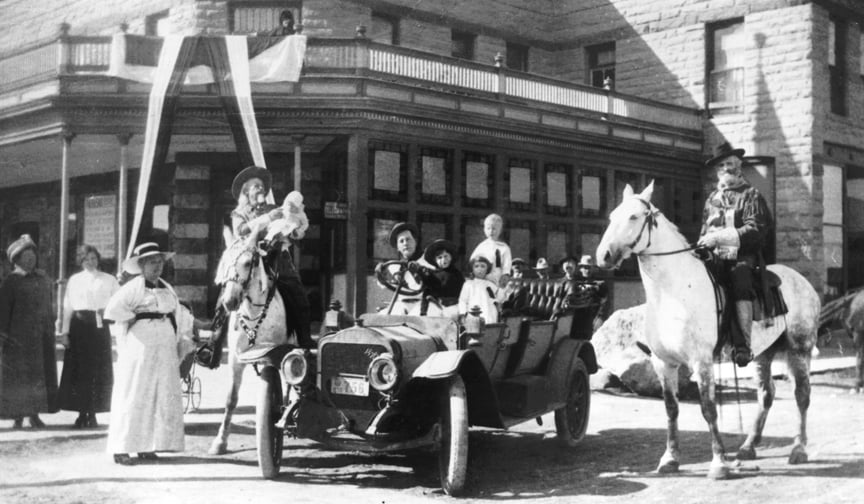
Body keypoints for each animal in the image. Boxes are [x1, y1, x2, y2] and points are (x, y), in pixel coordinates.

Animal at [206, 226, 294, 454]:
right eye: (224, 262)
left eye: (247, 263)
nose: (229, 301)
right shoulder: (235, 360)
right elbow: (231, 399)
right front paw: (220, 441)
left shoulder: (272, 358)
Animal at [596, 182, 820, 480]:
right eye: (612, 216)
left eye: (633, 217)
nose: (603, 256)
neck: (673, 292)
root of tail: (803, 281)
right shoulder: (663, 363)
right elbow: (671, 409)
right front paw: (670, 459)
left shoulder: (701, 362)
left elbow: (709, 409)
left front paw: (719, 464)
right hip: (763, 354)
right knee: (766, 394)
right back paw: (748, 447)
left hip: (799, 350)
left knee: (802, 396)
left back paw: (799, 449)